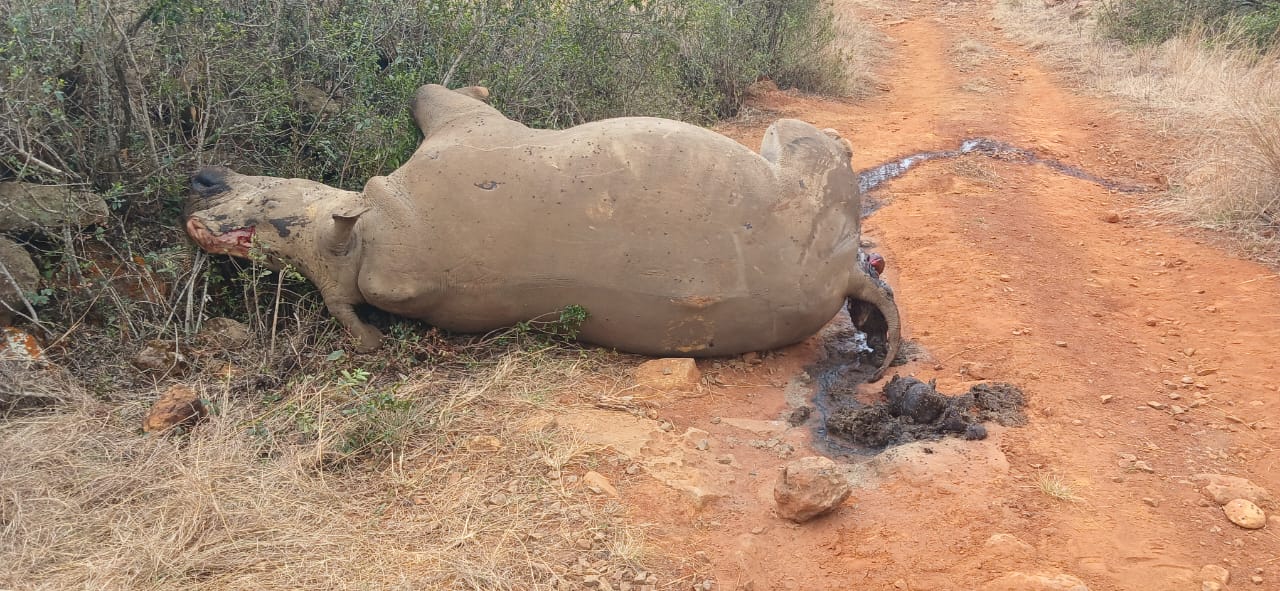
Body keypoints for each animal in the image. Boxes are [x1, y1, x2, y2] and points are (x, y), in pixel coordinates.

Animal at [185, 84, 902, 378]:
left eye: (268, 209)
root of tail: (844, 273)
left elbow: (434, 92)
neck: (355, 245)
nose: (198, 187)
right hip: (808, 208)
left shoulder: (457, 137)